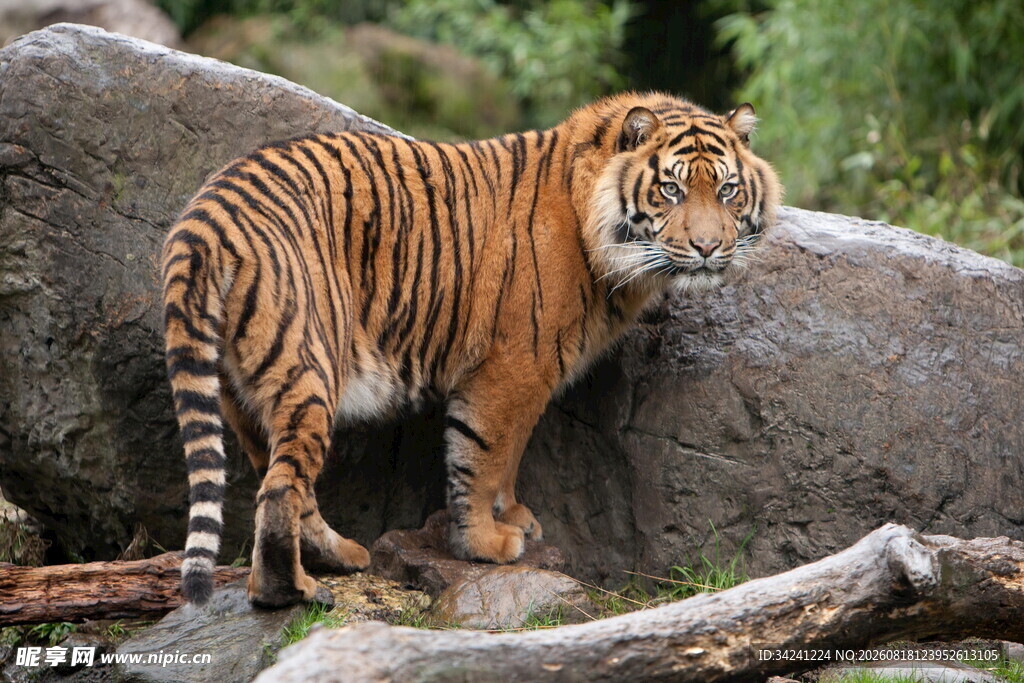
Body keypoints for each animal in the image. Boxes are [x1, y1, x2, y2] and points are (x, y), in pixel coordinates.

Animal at [161, 91, 782, 608]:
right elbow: (482, 455)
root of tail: (203, 221)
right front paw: (485, 542)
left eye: (727, 190)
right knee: (278, 490)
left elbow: (509, 456)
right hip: (309, 365)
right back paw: (290, 591)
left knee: (285, 479)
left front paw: (514, 518)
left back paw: (339, 555)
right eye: (670, 189)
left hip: (242, 392)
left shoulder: (531, 374)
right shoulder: (513, 367)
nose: (708, 248)